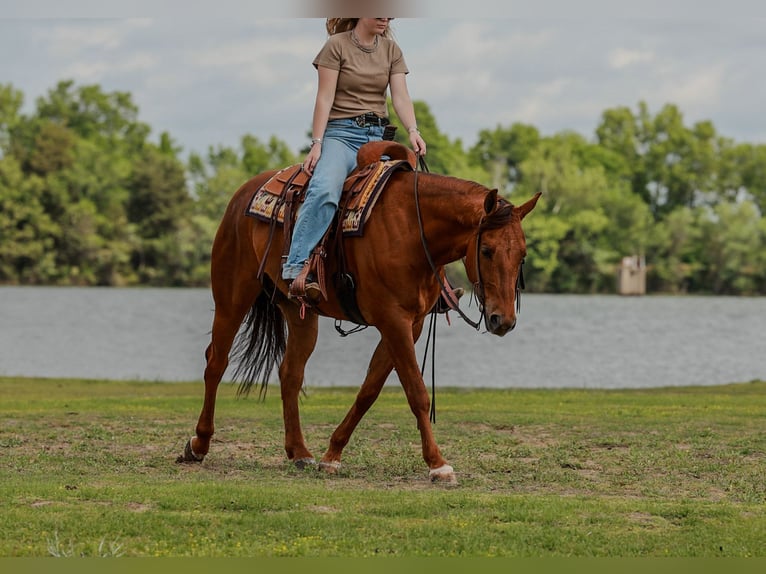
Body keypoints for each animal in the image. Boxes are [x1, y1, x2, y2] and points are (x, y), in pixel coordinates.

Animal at [177, 141, 541, 483]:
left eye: (522, 254)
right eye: (486, 250)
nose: (503, 320)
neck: (413, 228)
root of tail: (242, 194)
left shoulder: (411, 324)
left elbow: (369, 390)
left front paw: (332, 454)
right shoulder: (393, 320)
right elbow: (416, 392)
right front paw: (438, 464)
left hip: (299, 312)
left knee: (290, 373)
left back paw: (300, 452)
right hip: (232, 296)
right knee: (216, 362)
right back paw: (199, 444)